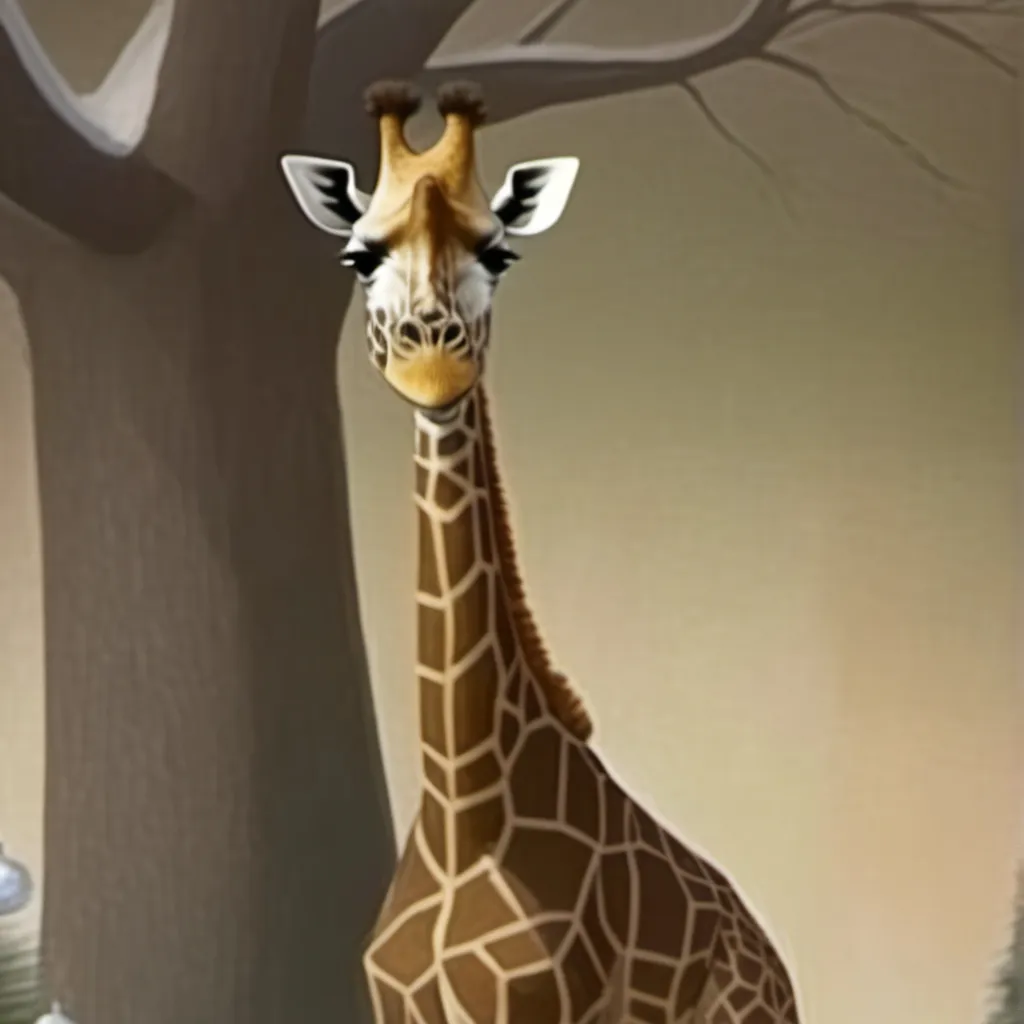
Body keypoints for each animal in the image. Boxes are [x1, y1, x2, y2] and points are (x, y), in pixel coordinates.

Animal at [280, 80, 801, 1024]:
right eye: (360, 255)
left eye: (499, 252)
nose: (433, 362)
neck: (463, 809)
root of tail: (775, 961)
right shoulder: (396, 1005)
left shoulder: (536, 1005)